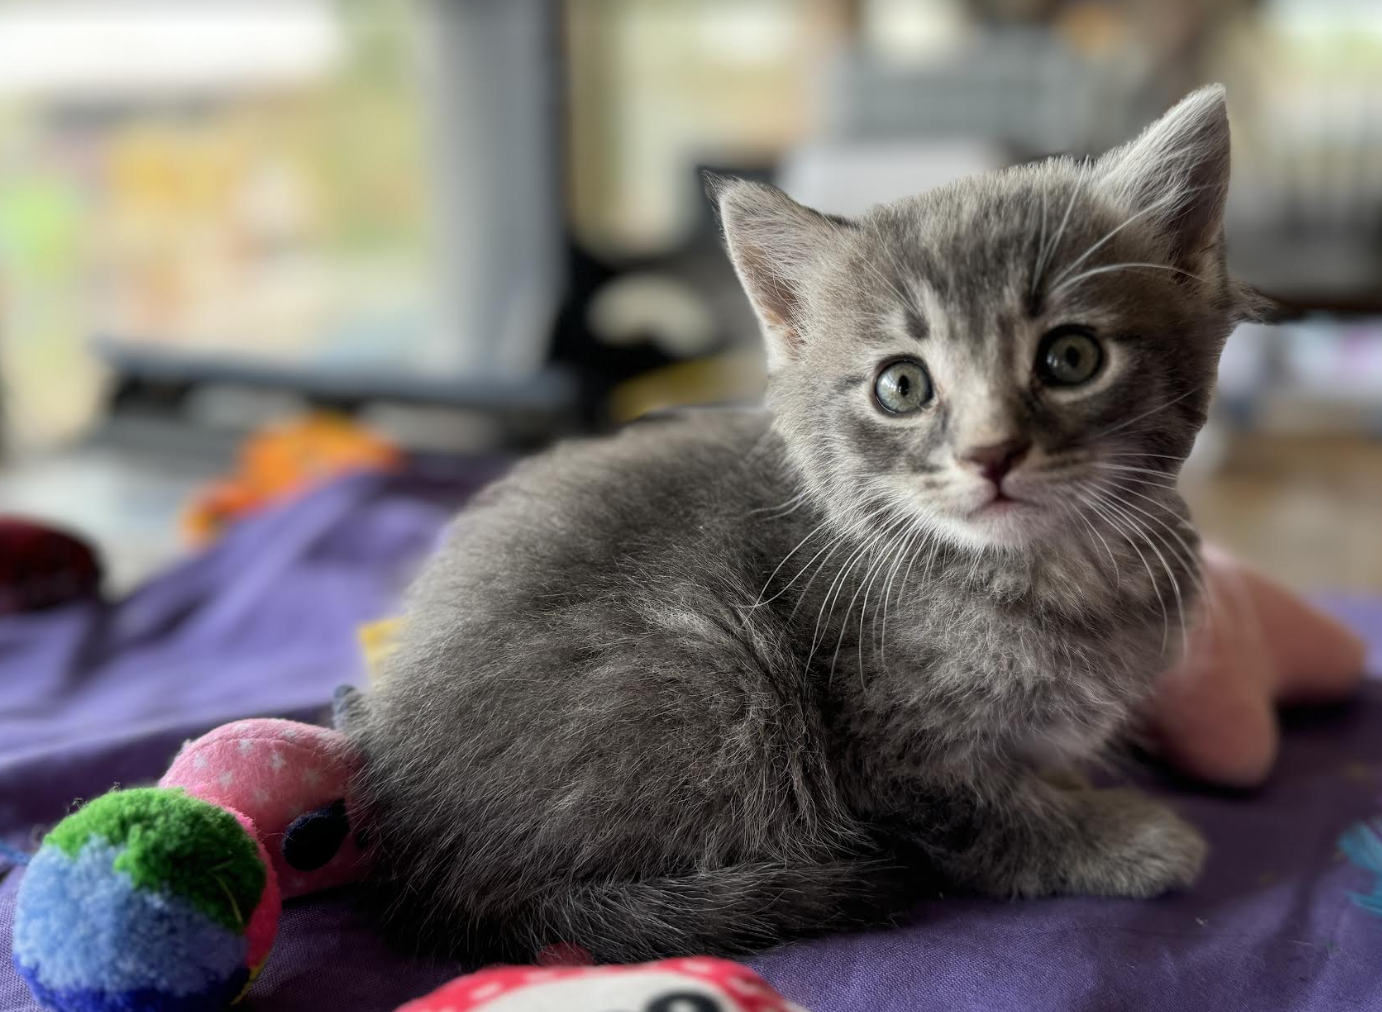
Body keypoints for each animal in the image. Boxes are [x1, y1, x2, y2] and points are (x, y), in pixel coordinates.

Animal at [351, 82, 1276, 962]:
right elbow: (993, 820)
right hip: (718, 673)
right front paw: (1127, 836)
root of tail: (426, 864)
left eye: (1072, 357)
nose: (990, 453)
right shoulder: (891, 757)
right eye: (902, 385)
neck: (1044, 574)